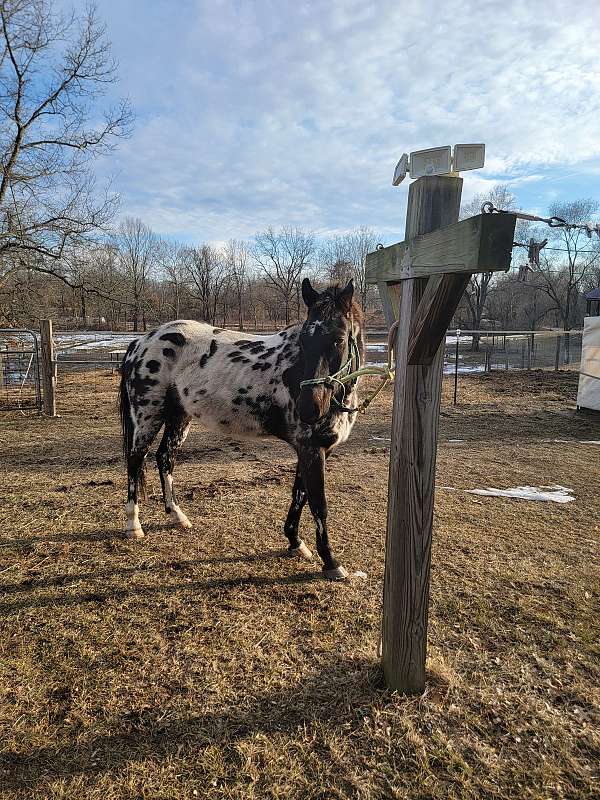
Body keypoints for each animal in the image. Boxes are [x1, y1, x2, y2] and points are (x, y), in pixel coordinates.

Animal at [116, 278, 360, 580]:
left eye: (339, 338)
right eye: (304, 339)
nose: (309, 409)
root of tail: (140, 342)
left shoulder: (310, 449)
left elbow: (300, 496)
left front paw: (295, 543)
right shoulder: (312, 449)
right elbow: (318, 504)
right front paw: (331, 562)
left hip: (178, 416)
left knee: (165, 458)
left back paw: (177, 516)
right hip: (148, 415)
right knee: (136, 460)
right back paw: (133, 525)